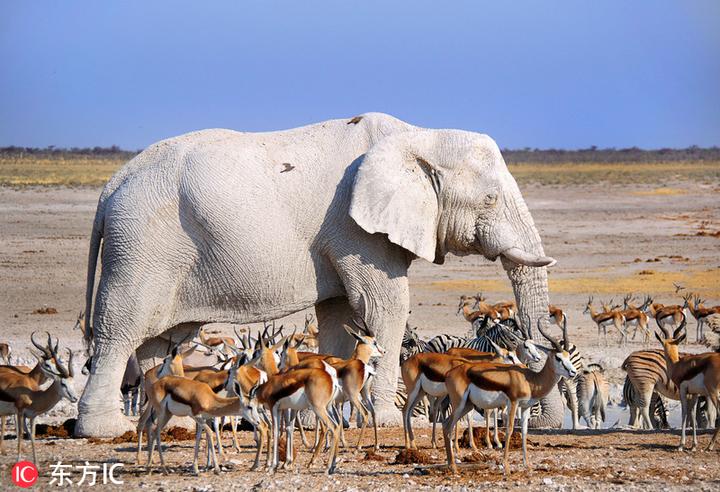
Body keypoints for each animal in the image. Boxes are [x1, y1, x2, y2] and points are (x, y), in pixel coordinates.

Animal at [76, 113, 560, 436]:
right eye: (491, 199)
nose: (547, 423)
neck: (417, 136)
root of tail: (109, 187)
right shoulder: (355, 227)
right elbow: (386, 306)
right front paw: (387, 422)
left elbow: (339, 316)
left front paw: (315, 419)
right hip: (142, 246)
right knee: (121, 329)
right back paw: (108, 430)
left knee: (163, 340)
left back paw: (165, 422)